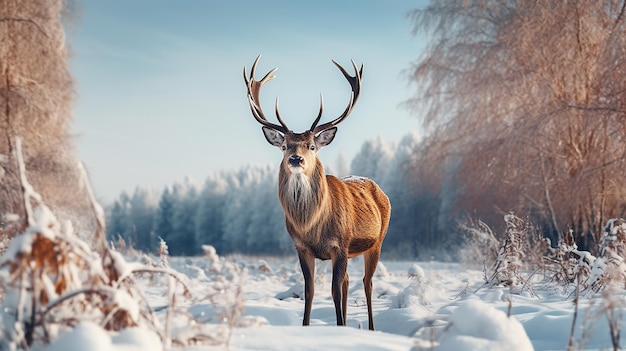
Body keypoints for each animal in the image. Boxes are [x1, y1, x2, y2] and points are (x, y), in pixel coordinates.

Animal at [241, 55, 388, 330]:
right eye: (285, 146)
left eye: (311, 146)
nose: (296, 159)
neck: (311, 226)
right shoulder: (301, 248)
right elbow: (309, 291)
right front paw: (308, 327)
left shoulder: (340, 245)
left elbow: (333, 291)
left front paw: (340, 327)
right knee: (349, 281)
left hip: (377, 241)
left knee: (367, 283)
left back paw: (372, 328)